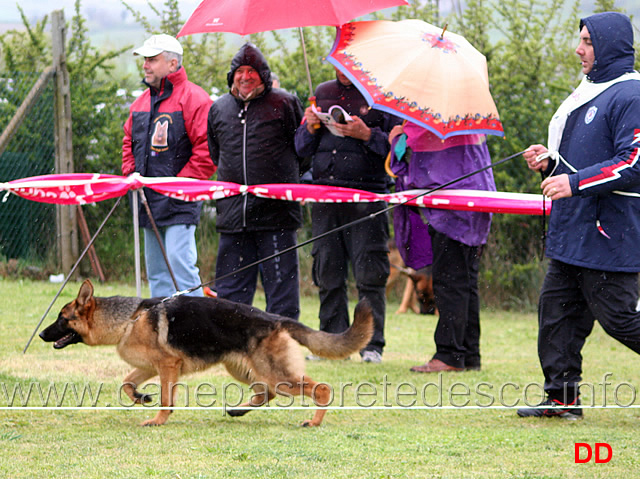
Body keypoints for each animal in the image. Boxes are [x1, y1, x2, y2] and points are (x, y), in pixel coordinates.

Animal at [40, 282, 372, 428]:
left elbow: (166, 398)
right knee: (266, 393)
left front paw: (158, 419)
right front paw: (140, 397)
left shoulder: (167, 366)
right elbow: (126, 382)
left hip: (276, 374)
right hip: (244, 369)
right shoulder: (151, 367)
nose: (42, 335)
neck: (130, 319)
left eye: (62, 319)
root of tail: (276, 319)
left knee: (320, 388)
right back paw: (238, 411)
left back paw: (313, 422)